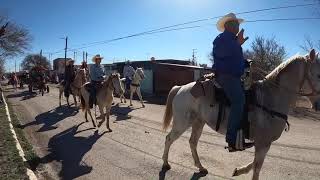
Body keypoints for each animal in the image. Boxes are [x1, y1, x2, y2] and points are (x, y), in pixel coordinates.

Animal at [161, 48, 320, 179]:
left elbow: (254, 164)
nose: (318, 105)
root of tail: (180, 88)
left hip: (198, 122)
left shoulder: (262, 144)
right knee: (169, 139)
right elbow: (257, 168)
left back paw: (201, 167)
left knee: (192, 142)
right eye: (319, 75)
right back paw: (165, 164)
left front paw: (238, 170)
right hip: (182, 123)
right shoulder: (263, 143)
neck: (272, 98)